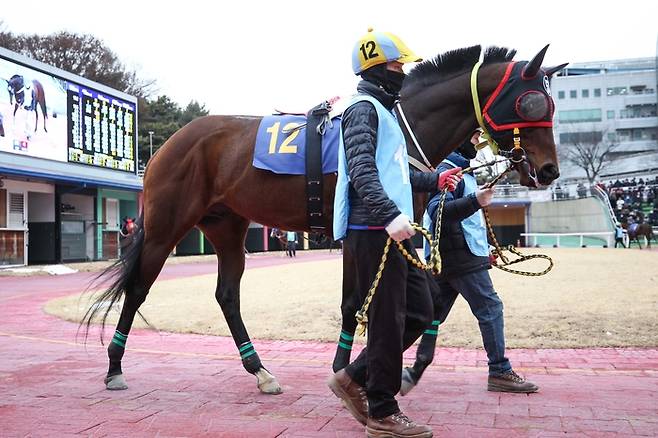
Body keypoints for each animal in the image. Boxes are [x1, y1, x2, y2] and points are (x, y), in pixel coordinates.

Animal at [82, 44, 564, 394]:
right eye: (531, 102)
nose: (548, 171)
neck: (398, 123)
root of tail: (168, 144)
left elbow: (421, 298)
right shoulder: (358, 229)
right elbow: (356, 302)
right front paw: (347, 367)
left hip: (227, 227)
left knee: (226, 296)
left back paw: (260, 370)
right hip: (166, 227)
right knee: (138, 289)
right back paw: (114, 367)